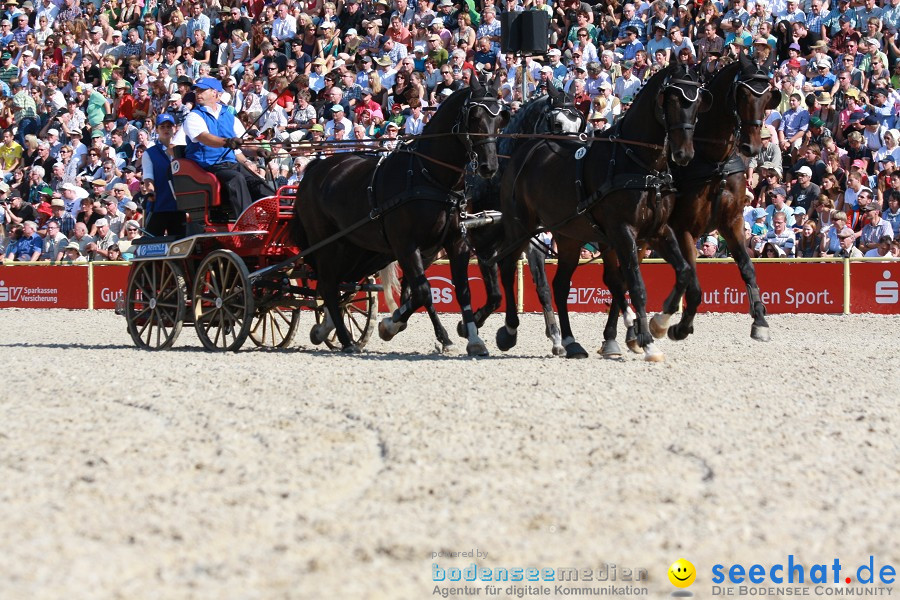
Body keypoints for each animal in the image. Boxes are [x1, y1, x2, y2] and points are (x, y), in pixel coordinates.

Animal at [294, 77, 510, 354]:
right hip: (326, 244)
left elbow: (461, 290)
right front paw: (401, 327)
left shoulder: (456, 241)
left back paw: (327, 329)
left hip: (352, 247)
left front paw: (473, 339)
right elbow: (423, 291)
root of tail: (314, 168)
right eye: (474, 117)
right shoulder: (406, 245)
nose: (489, 166)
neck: (430, 176)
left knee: (341, 285)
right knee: (330, 286)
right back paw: (345, 339)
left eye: (500, 119)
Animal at [464, 84, 584, 356]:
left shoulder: (531, 238)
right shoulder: (481, 243)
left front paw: (556, 337)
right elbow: (495, 294)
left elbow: (542, 286)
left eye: (579, 124)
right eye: (557, 124)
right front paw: (477, 327)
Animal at [492, 63, 712, 358]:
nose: (684, 154)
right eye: (672, 99)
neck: (641, 165)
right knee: (506, 267)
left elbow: (684, 271)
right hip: (521, 227)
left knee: (560, 285)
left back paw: (570, 341)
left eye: (698, 102)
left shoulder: (658, 231)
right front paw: (647, 340)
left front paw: (661, 323)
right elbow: (636, 285)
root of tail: (524, 151)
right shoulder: (623, 232)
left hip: (568, 235)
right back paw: (509, 331)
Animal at [600, 52, 784, 356]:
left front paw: (760, 321)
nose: (753, 147)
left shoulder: (732, 222)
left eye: (769, 95)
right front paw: (672, 325)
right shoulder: (683, 228)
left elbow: (747, 268)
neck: (714, 160)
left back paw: (629, 335)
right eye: (743, 93)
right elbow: (694, 286)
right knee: (623, 277)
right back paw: (615, 336)